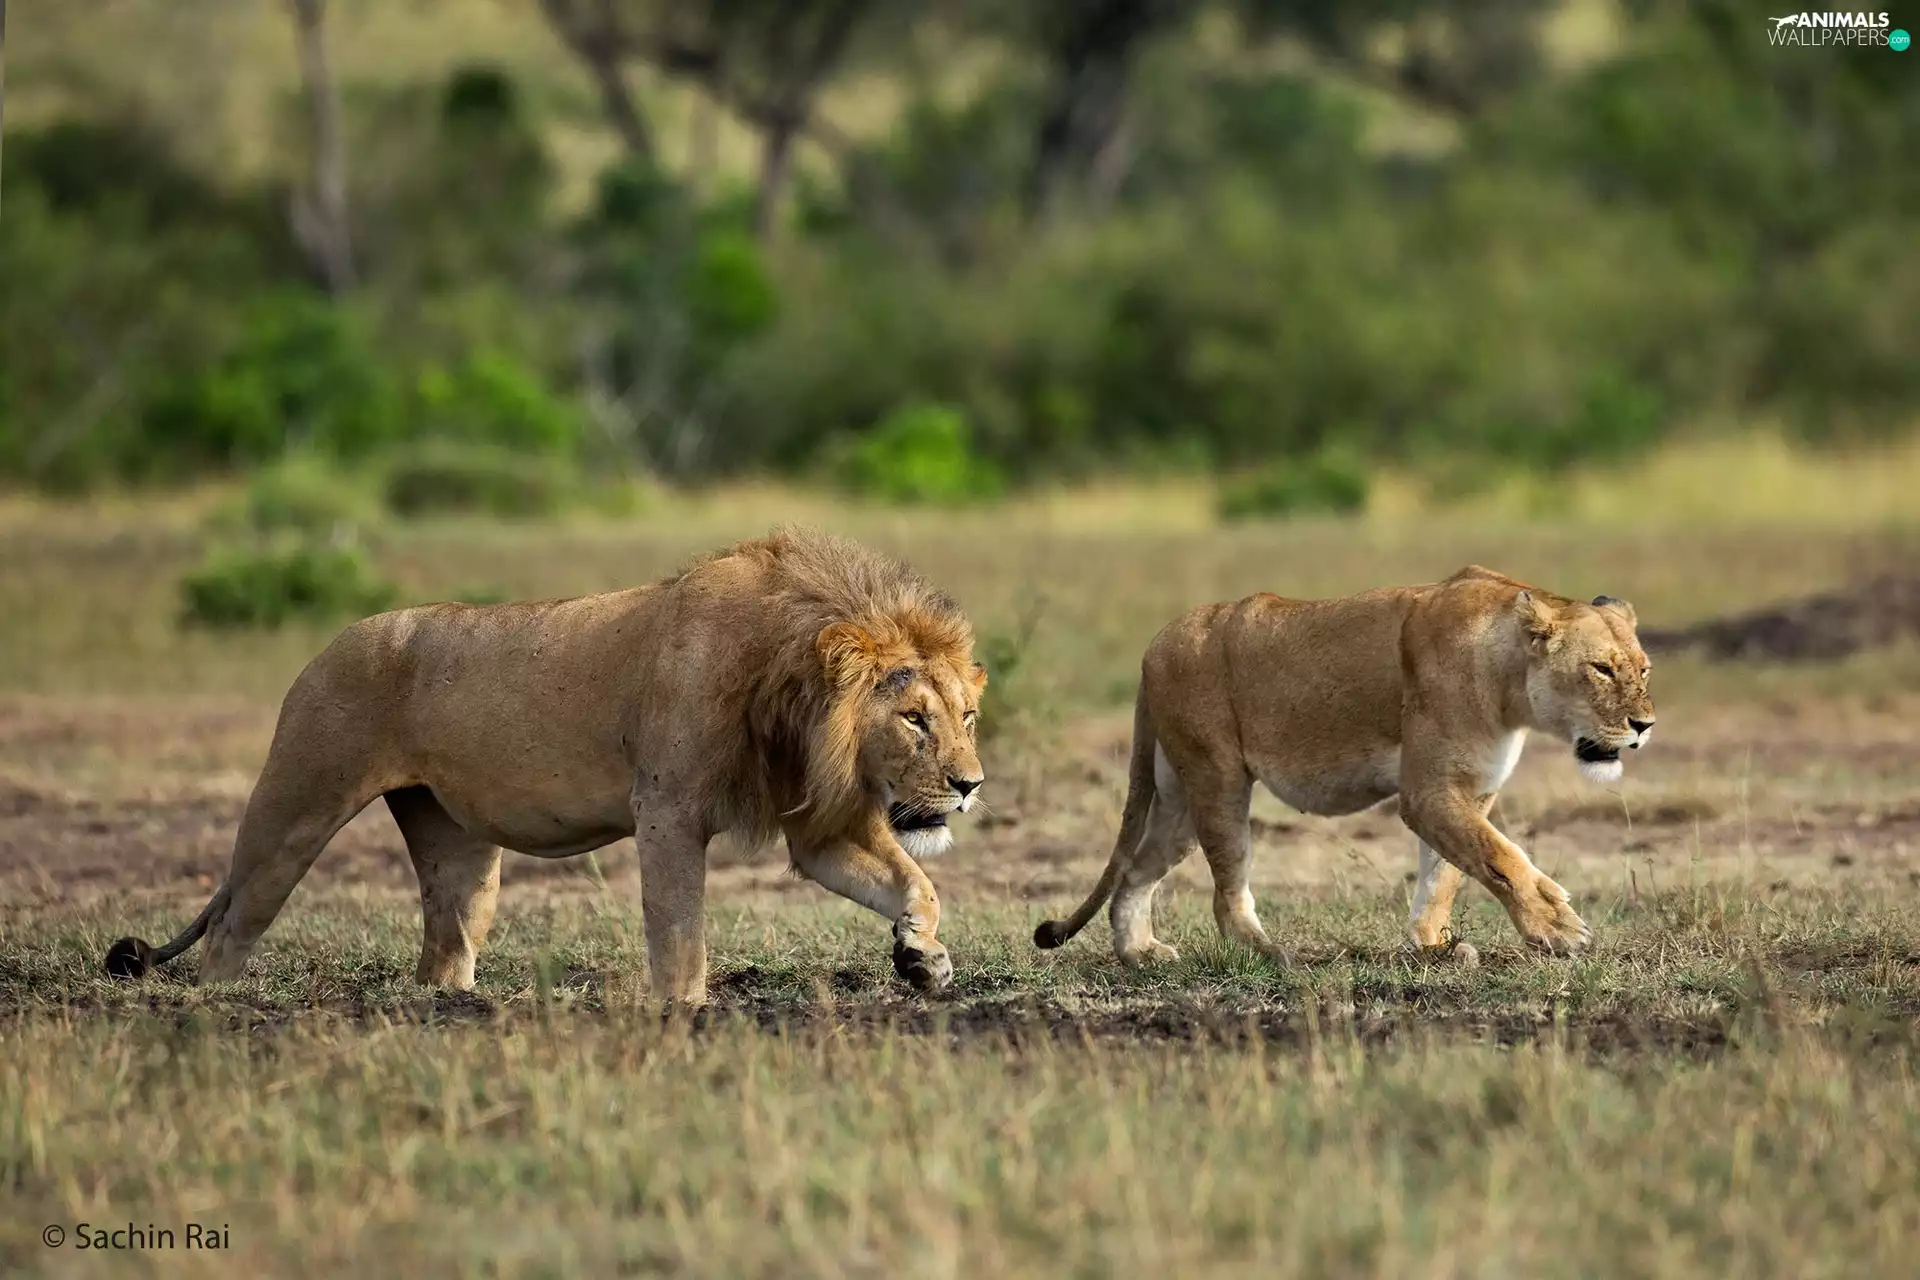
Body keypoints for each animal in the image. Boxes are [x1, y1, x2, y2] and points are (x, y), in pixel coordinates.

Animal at [104, 527, 989, 1004]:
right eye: (914, 719)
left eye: (967, 717)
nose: (969, 786)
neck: (788, 689)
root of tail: (329, 645)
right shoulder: (668, 811)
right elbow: (679, 930)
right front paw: (685, 1010)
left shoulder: (817, 823)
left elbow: (915, 882)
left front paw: (923, 959)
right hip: (293, 806)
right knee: (231, 926)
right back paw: (218, 1006)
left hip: (455, 845)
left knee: (446, 946)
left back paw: (453, 1008)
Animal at [1033, 565, 1654, 964]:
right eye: (1601, 669)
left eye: (1644, 669)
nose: (1643, 726)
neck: (1510, 682)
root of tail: (1154, 645)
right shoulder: (1428, 791)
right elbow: (1498, 857)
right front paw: (1558, 930)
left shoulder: (1470, 790)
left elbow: (1447, 871)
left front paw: (1432, 945)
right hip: (1216, 777)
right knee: (1224, 890)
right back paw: (1270, 953)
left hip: (1178, 799)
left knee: (1136, 871)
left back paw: (1140, 953)